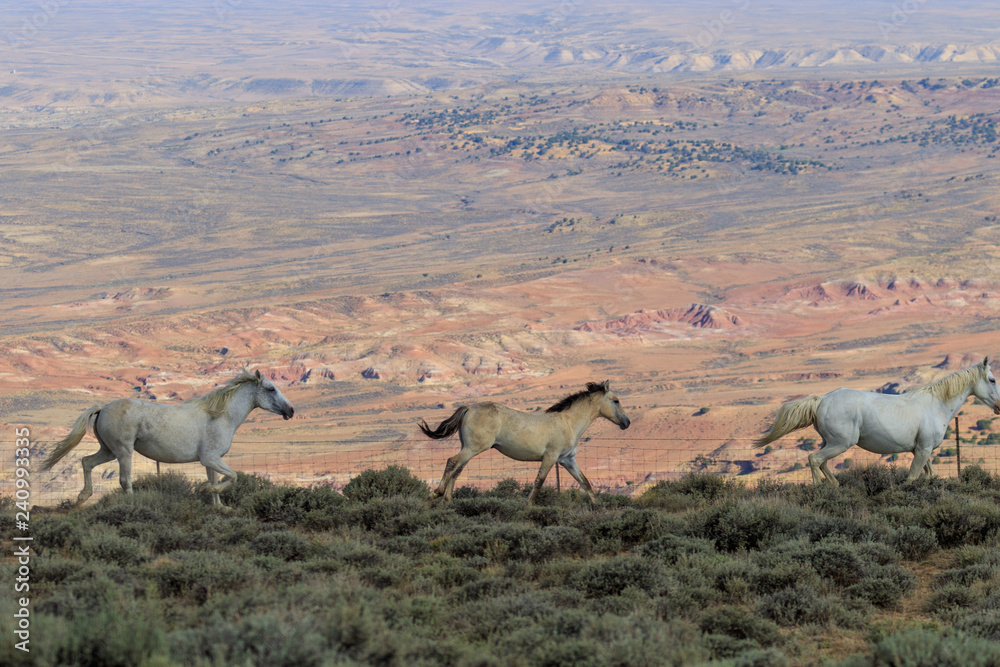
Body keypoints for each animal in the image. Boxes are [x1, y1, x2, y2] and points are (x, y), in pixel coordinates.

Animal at [41, 369, 294, 506]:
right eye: (271, 389)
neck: (220, 416)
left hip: (108, 451)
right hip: (123, 452)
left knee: (86, 462)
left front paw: (219, 506)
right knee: (124, 480)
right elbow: (232, 477)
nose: (291, 411)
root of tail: (102, 408)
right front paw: (205, 491)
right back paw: (133, 504)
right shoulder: (211, 458)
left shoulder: (210, 461)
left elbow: (217, 480)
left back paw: (83, 496)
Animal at [419, 380, 631, 503]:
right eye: (616, 400)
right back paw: (435, 494)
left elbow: (585, 483)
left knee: (458, 469)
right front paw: (528, 505)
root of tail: (469, 408)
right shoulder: (550, 457)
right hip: (474, 447)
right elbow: (539, 482)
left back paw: (448, 501)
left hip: (469, 448)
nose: (627, 423)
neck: (568, 422)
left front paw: (599, 508)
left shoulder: (567, 460)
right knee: (452, 462)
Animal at [754, 357, 1000, 485]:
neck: (936, 405)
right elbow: (912, 477)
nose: (999, 406)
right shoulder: (922, 450)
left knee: (822, 463)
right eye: (992, 379)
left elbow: (929, 474)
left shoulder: (922, 449)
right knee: (815, 459)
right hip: (841, 443)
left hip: (829, 442)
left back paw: (836, 487)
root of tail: (822, 400)